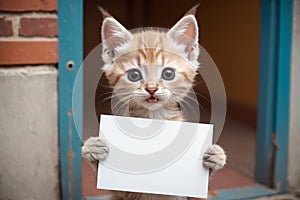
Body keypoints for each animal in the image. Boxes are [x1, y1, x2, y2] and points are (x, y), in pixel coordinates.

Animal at [81, 5, 226, 199]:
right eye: (134, 75)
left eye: (168, 74)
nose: (151, 89)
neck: (154, 118)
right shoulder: (125, 193)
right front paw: (93, 150)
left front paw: (215, 157)